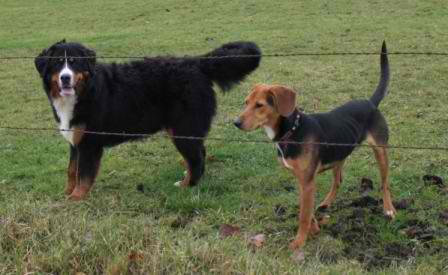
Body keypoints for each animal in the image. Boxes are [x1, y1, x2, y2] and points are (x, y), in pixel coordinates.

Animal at [234, 41, 396, 254]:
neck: (293, 130)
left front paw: (299, 242)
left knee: (385, 183)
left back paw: (389, 209)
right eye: (246, 103)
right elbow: (306, 209)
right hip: (339, 153)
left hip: (380, 150)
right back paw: (326, 203)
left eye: (259, 105)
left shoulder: (308, 180)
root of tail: (370, 102)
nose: (235, 123)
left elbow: (303, 215)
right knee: (338, 180)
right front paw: (315, 228)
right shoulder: (303, 179)